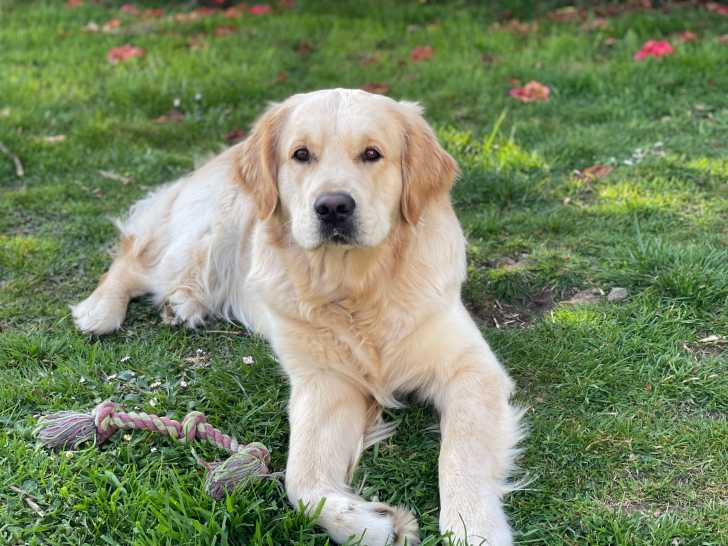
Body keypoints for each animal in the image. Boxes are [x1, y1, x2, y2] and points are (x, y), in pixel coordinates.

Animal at [71, 89, 522, 545]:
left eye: (372, 154)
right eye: (301, 154)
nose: (333, 206)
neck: (354, 288)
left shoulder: (470, 370)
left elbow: (460, 454)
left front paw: (473, 527)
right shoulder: (324, 382)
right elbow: (300, 481)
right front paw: (372, 523)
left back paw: (182, 304)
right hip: (211, 227)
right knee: (134, 256)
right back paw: (100, 310)